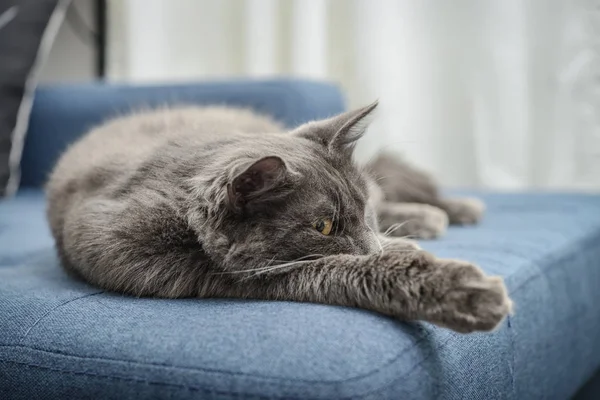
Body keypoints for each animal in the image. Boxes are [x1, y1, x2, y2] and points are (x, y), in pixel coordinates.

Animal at [49, 101, 512, 332]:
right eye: (323, 227)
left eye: (361, 210)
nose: (370, 244)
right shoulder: (222, 275)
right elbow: (339, 269)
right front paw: (466, 292)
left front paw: (398, 245)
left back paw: (449, 211)